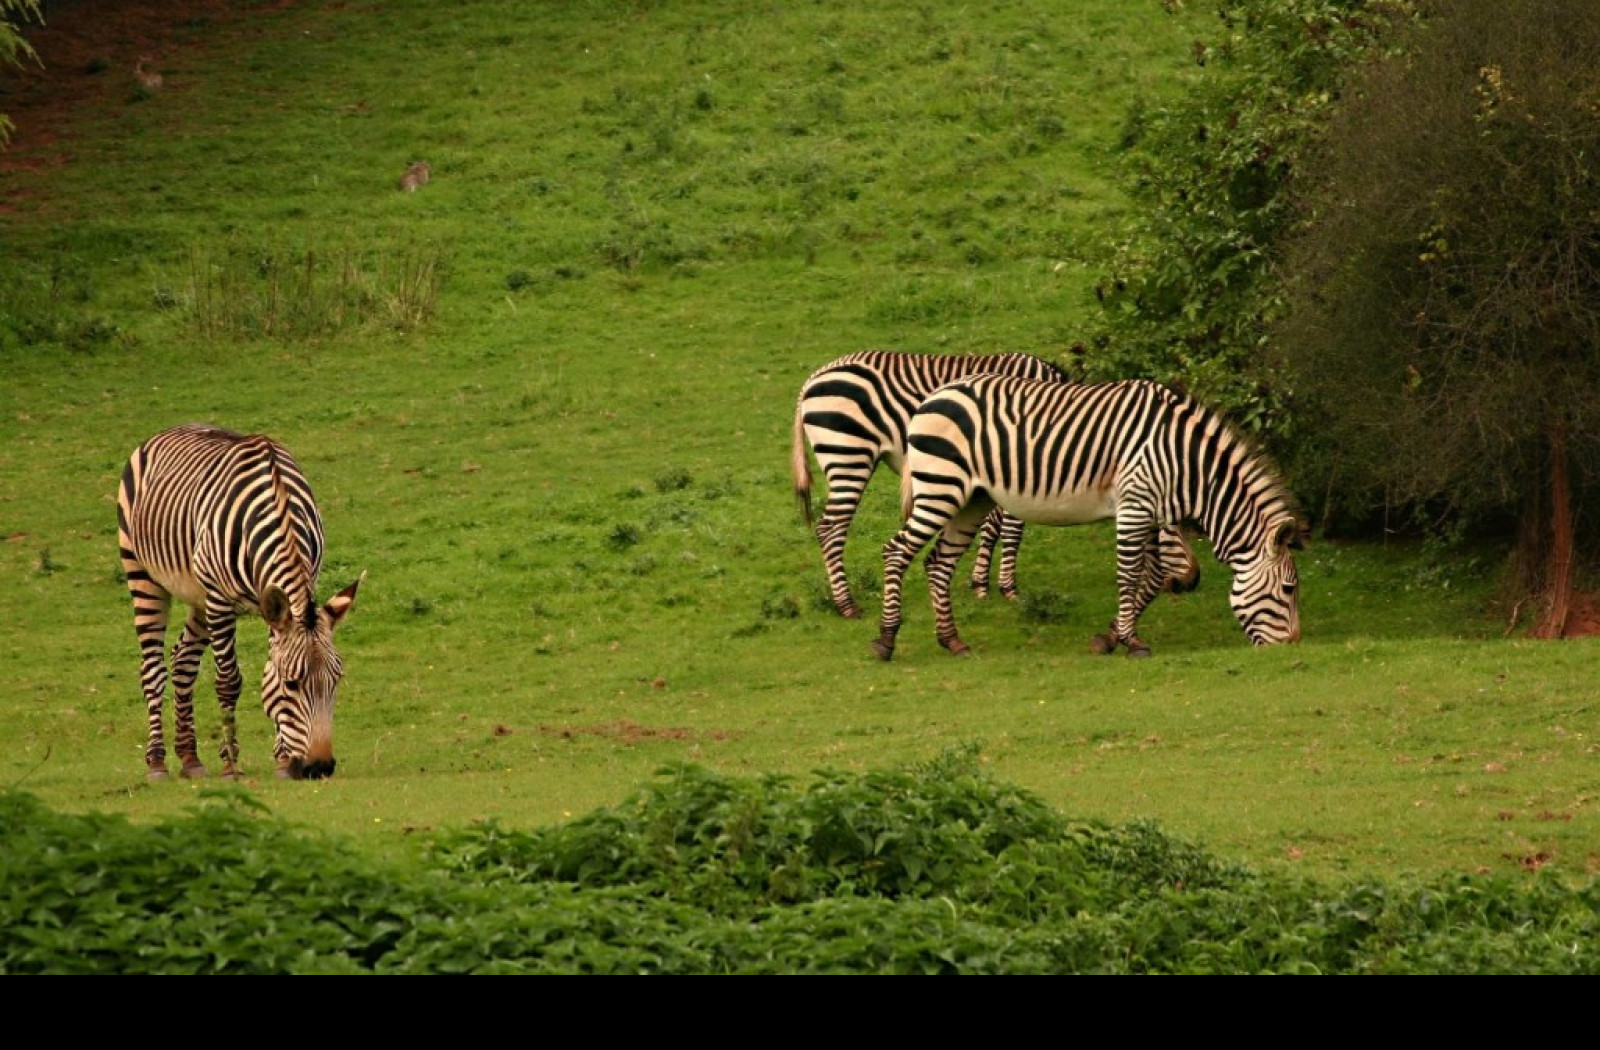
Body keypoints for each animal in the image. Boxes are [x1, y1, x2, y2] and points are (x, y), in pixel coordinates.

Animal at [116, 422, 361, 774]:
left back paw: (190, 758)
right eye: (292, 684)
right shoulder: (220, 600)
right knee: (153, 670)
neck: (279, 506)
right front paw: (231, 764)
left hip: (198, 595)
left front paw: (283, 759)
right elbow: (228, 681)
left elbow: (268, 670)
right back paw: (157, 762)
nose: (320, 767)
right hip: (143, 573)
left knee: (183, 661)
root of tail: (170, 430)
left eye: (336, 680)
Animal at [790, 348, 1203, 617]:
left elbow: (993, 526)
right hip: (849, 454)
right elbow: (1012, 528)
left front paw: (981, 582)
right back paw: (847, 605)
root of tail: (813, 378)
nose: (1193, 581)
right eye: (1173, 526)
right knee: (831, 529)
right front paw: (1006, 587)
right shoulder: (1021, 461)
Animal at [870, 374, 1305, 656]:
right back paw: (886, 639)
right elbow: (1130, 575)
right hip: (940, 487)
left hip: (971, 498)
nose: (1291, 646)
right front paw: (1132, 642)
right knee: (896, 551)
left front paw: (1111, 637)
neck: (1186, 462)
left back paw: (952, 641)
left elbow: (1153, 577)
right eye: (1288, 590)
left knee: (938, 563)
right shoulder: (1134, 505)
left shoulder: (1149, 511)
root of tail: (933, 396)